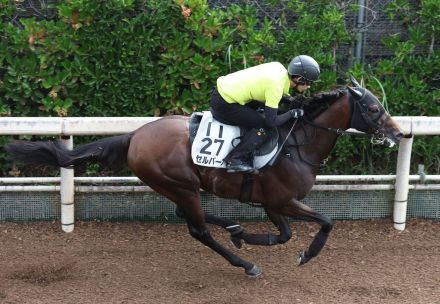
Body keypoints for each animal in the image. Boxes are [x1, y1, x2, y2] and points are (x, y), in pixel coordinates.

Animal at [6, 79, 404, 278]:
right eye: (373, 107)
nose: (400, 133)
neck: (297, 144)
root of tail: (135, 135)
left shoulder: (271, 202)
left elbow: (285, 234)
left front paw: (250, 235)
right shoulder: (281, 199)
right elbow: (324, 222)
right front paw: (305, 254)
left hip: (180, 187)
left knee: (185, 216)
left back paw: (235, 229)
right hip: (179, 184)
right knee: (197, 230)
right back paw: (244, 263)